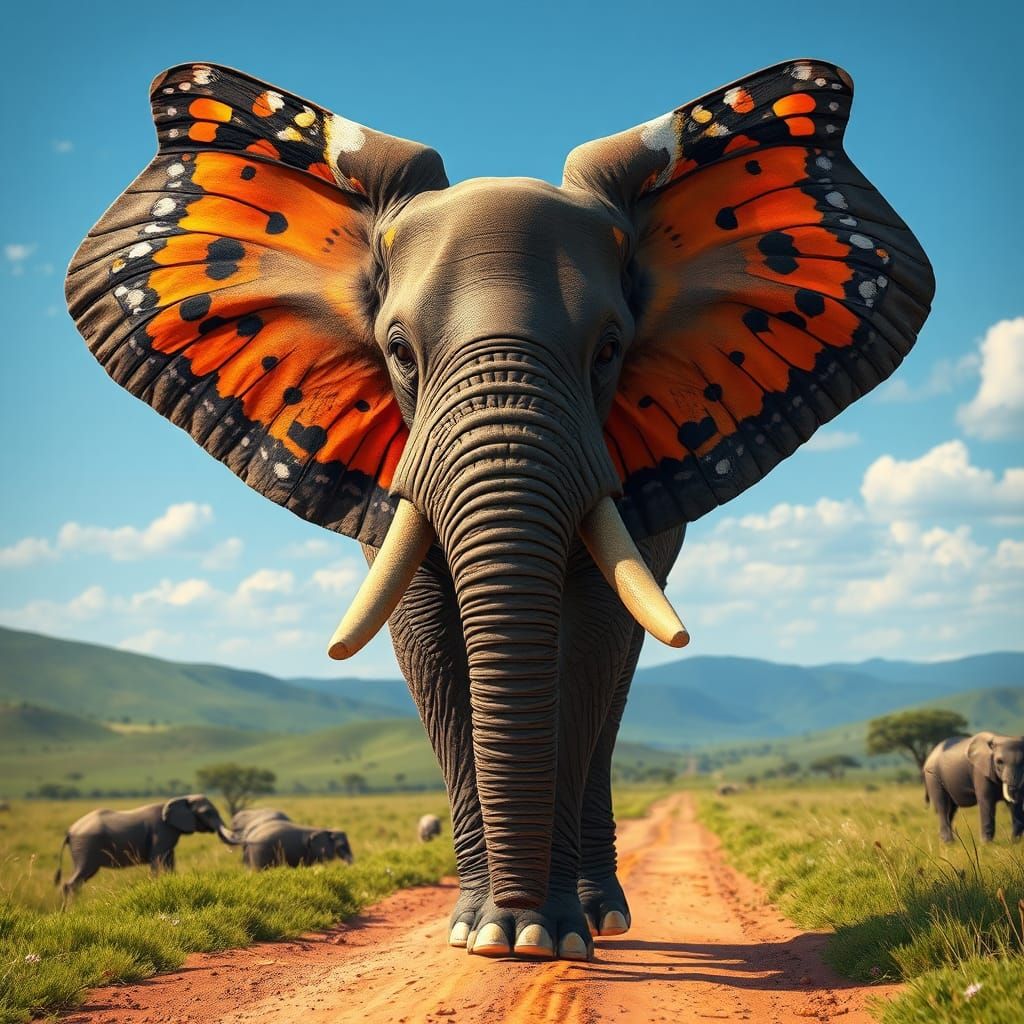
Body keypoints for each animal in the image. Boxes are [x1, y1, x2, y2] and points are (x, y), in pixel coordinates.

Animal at [54, 794, 237, 901]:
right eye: (207, 813)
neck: (179, 799)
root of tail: (70, 831)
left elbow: (169, 862)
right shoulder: (161, 831)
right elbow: (156, 861)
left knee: (80, 881)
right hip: (86, 846)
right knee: (76, 879)